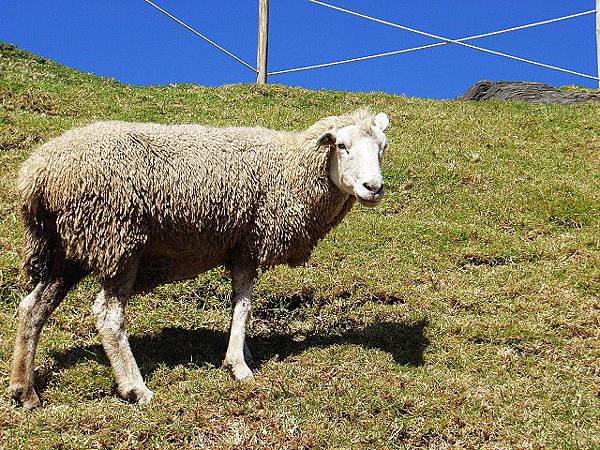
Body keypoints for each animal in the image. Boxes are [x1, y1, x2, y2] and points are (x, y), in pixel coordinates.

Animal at [11, 108, 392, 408]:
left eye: (382, 148)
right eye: (341, 145)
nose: (373, 188)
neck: (291, 168)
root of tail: (38, 173)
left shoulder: (239, 247)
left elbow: (240, 303)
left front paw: (242, 353)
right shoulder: (249, 244)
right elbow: (244, 304)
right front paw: (239, 366)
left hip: (67, 250)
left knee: (32, 308)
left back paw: (24, 390)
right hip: (117, 237)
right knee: (107, 315)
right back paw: (136, 388)